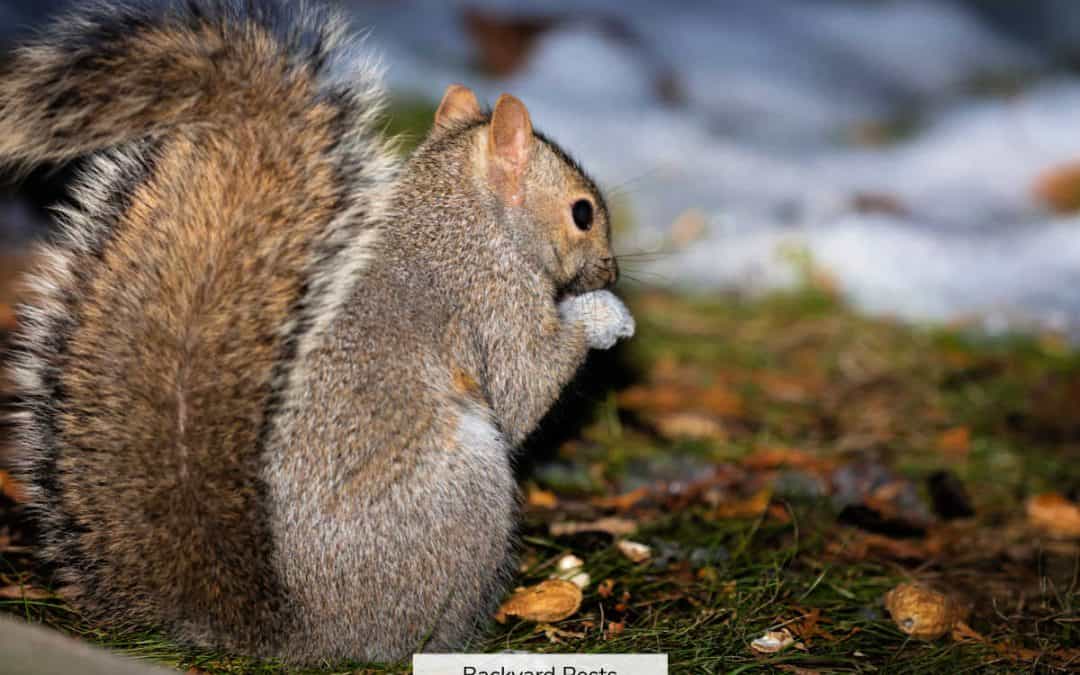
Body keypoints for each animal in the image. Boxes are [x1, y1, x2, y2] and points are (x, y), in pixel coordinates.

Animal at [0, 0, 634, 665]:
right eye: (582, 213)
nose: (613, 271)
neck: (462, 214)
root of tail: (301, 633)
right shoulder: (492, 301)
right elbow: (522, 386)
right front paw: (601, 315)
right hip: (465, 495)